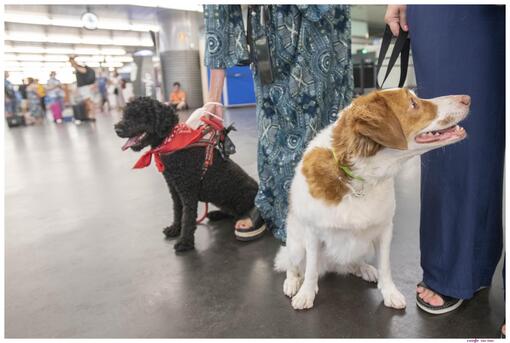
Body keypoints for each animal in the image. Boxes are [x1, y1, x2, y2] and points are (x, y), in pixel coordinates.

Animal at [116, 97, 258, 253]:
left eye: (140, 115)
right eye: (125, 114)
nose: (117, 129)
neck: (170, 141)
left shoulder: (188, 191)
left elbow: (188, 217)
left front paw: (185, 242)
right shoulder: (175, 189)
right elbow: (178, 211)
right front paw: (174, 229)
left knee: (241, 213)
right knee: (230, 212)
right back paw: (216, 214)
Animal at [274, 87, 470, 310]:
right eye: (413, 103)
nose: (467, 99)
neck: (358, 178)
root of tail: (333, 264)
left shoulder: (384, 229)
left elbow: (385, 266)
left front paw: (390, 292)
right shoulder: (313, 233)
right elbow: (311, 269)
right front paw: (306, 293)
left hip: (364, 245)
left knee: (352, 262)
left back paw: (365, 269)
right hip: (296, 244)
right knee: (293, 264)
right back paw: (292, 282)